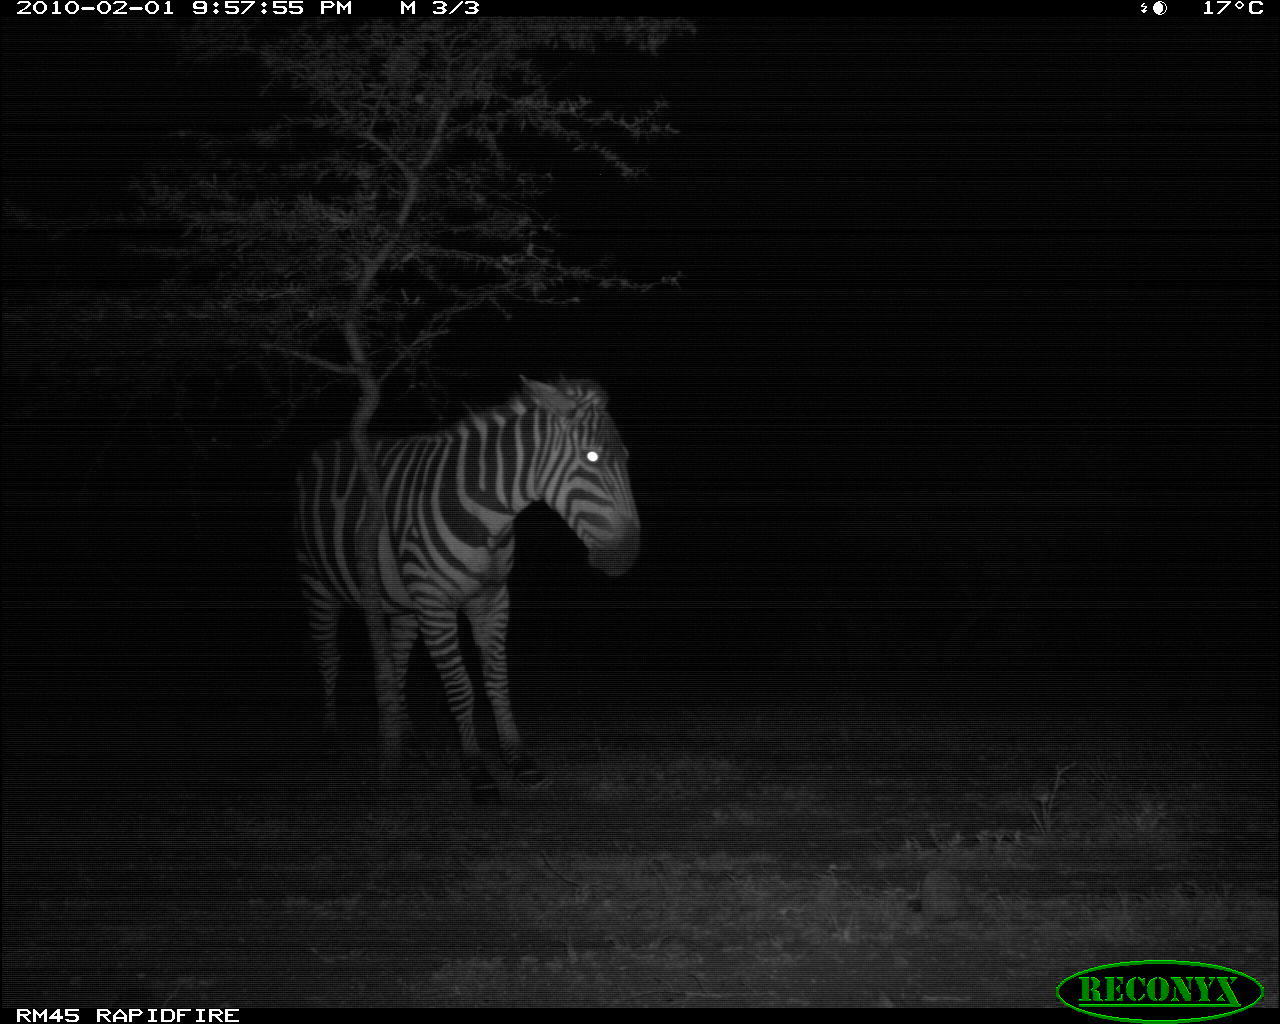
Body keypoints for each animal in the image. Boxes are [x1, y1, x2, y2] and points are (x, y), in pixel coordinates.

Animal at [294, 376, 645, 798]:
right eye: (592, 458)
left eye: (626, 457)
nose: (626, 558)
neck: (489, 516)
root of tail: (325, 447)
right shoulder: (436, 604)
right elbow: (461, 687)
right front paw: (477, 770)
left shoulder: (491, 599)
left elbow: (497, 680)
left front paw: (519, 762)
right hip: (317, 585)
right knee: (329, 656)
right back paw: (331, 738)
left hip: (402, 601)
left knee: (395, 662)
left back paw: (409, 744)